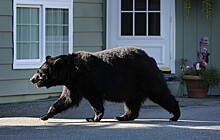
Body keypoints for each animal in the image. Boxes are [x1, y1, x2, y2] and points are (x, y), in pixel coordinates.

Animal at [30, 46, 180, 121]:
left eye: (40, 72)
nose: (32, 79)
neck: (71, 72)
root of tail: (151, 59)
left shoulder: (86, 80)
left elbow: (94, 98)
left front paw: (94, 117)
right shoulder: (72, 84)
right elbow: (67, 99)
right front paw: (45, 115)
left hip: (146, 78)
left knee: (160, 93)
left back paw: (175, 115)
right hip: (131, 86)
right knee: (131, 102)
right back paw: (122, 116)